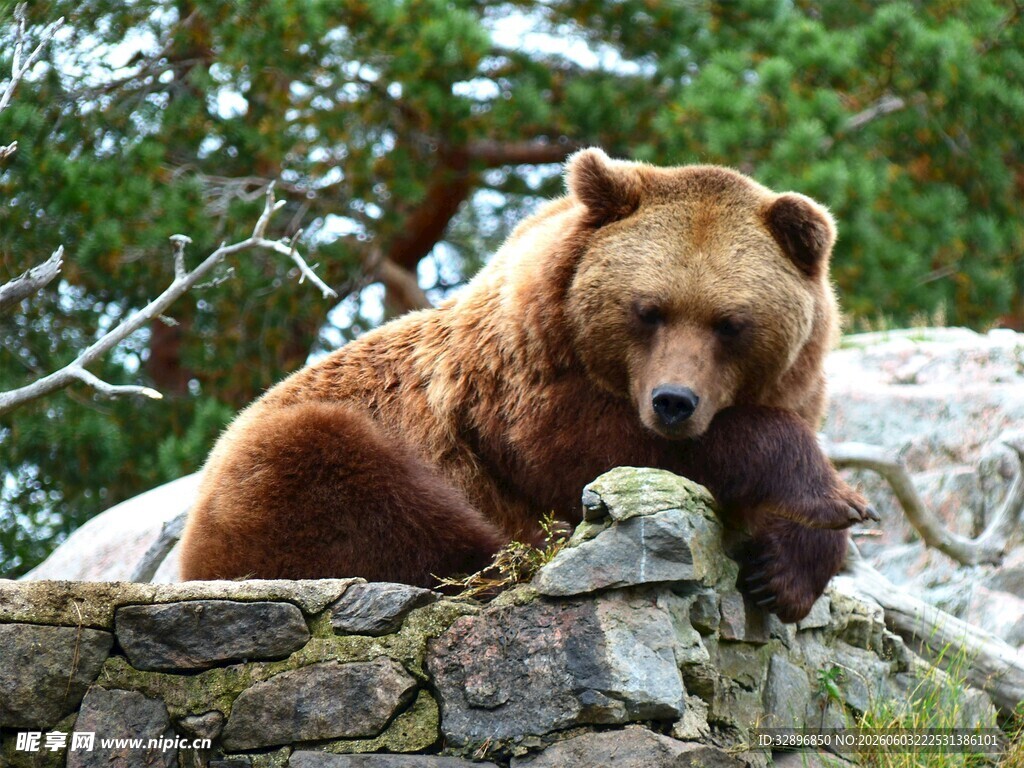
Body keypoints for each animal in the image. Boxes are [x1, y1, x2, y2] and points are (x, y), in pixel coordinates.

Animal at [179, 148, 875, 622]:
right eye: (648, 310)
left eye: (730, 323)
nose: (673, 402)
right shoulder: (515, 398)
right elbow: (592, 454)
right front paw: (832, 496)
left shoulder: (791, 386)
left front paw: (783, 569)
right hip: (288, 469)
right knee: (348, 476)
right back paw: (524, 553)